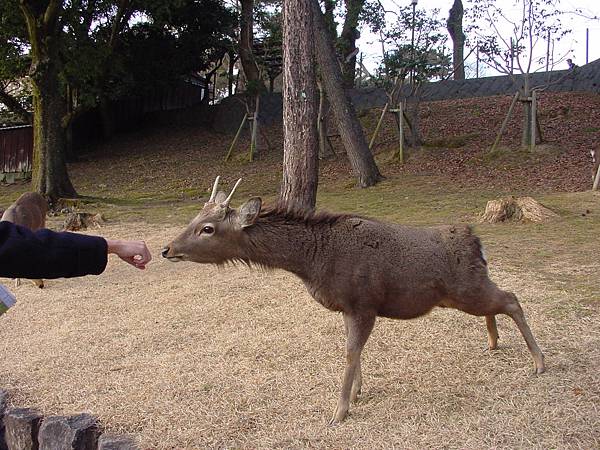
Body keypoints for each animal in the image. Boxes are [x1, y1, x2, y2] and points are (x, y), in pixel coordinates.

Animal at [162, 177, 548, 426]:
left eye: (208, 228)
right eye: (194, 218)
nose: (167, 249)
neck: (313, 262)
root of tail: (477, 241)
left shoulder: (363, 302)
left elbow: (350, 352)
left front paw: (339, 412)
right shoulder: (349, 307)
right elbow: (355, 351)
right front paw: (359, 393)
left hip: (467, 288)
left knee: (512, 299)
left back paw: (539, 363)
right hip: (464, 291)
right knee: (499, 303)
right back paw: (493, 342)